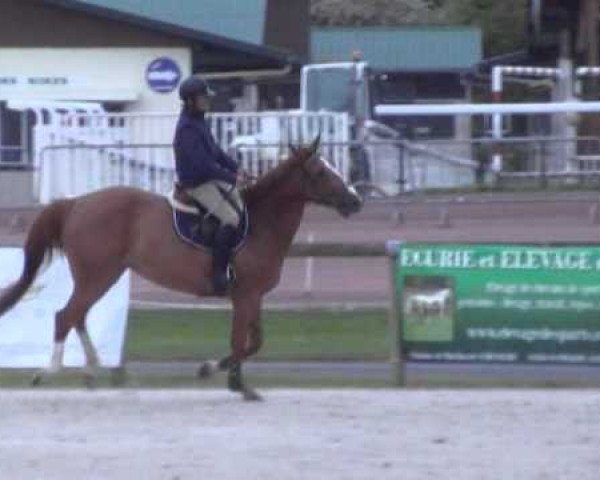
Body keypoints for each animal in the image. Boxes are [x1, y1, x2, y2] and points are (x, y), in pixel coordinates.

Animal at [0, 139, 360, 402]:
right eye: (319, 172)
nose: (355, 201)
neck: (261, 221)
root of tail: (76, 203)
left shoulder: (253, 295)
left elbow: (254, 342)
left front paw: (230, 379)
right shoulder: (244, 295)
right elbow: (240, 342)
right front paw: (224, 378)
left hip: (101, 277)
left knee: (78, 316)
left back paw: (91, 369)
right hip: (96, 276)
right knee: (65, 316)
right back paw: (49, 371)